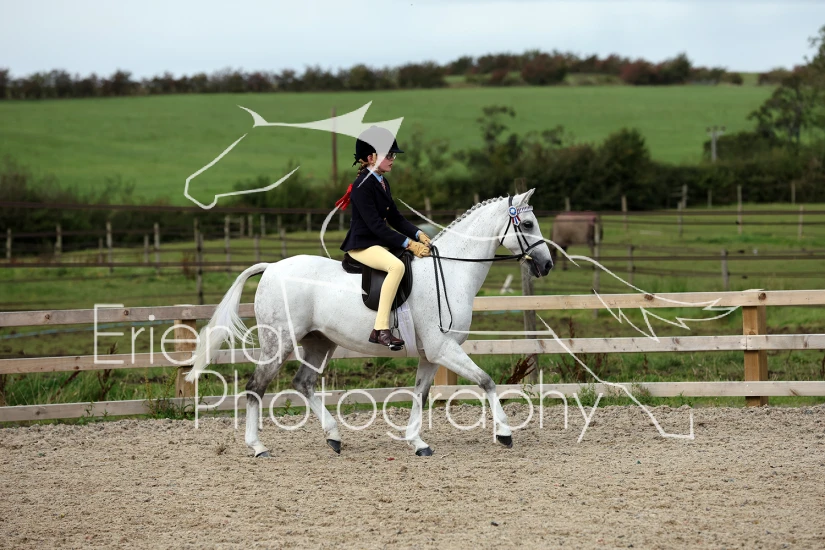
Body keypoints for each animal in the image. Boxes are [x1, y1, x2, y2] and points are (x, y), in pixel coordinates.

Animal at [185, 189, 554, 457]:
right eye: (527, 225)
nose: (548, 265)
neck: (451, 271)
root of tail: (272, 267)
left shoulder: (431, 354)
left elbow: (420, 393)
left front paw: (417, 442)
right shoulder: (443, 348)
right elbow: (487, 381)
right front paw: (504, 433)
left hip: (319, 342)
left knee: (303, 383)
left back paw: (333, 437)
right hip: (279, 341)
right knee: (256, 386)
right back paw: (258, 446)